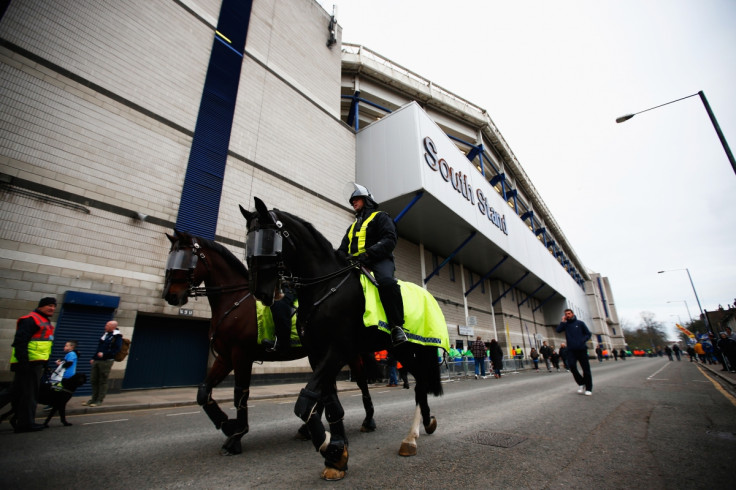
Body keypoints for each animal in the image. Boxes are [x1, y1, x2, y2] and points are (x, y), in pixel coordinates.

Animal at [163, 230, 376, 456]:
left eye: (185, 258)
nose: (170, 295)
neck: (235, 301)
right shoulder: (225, 357)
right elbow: (203, 392)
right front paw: (228, 425)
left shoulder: (241, 355)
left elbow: (240, 393)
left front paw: (236, 437)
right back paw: (307, 429)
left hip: (347, 353)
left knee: (361, 382)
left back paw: (368, 420)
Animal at [244, 197, 446, 480]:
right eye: (249, 240)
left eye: (267, 240)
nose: (261, 293)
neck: (324, 288)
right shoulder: (318, 354)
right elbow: (328, 402)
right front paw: (335, 452)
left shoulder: (338, 350)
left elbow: (304, 403)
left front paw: (331, 448)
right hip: (403, 352)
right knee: (421, 383)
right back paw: (425, 424)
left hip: (415, 348)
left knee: (421, 384)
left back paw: (411, 438)